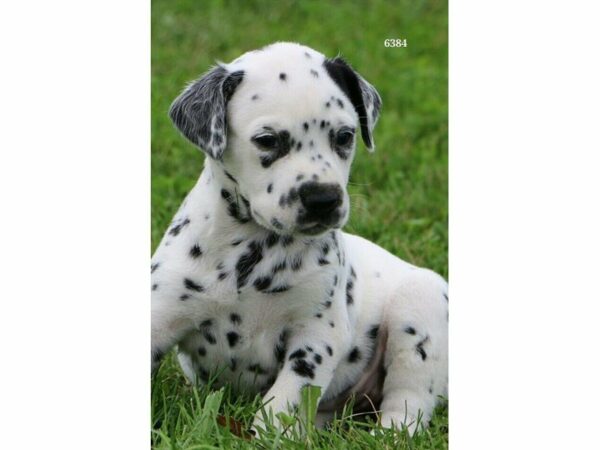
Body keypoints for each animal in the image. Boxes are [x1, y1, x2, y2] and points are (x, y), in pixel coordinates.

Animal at [152, 43, 448, 436]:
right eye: (267, 140)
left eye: (344, 136)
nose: (323, 199)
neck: (254, 252)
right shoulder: (160, 312)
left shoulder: (317, 333)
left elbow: (288, 395)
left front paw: (271, 435)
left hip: (419, 310)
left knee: (408, 401)